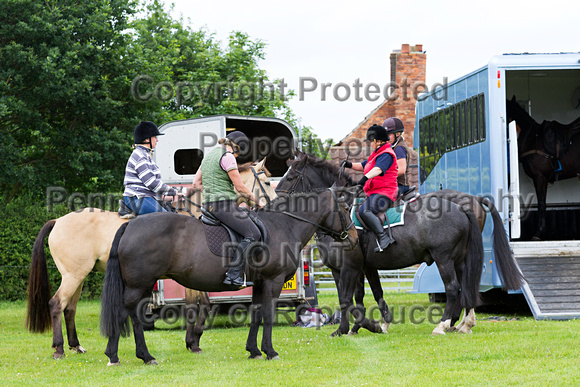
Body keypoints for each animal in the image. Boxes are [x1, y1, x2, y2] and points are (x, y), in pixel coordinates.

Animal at [24, 159, 274, 360]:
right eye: (267, 182)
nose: (275, 203)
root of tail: (57, 220)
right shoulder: (190, 278)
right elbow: (198, 305)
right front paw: (193, 342)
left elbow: (200, 304)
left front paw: (192, 341)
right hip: (74, 276)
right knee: (57, 304)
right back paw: (59, 348)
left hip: (79, 276)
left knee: (69, 308)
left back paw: (75, 346)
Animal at [99, 186, 358, 366]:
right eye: (346, 209)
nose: (354, 239)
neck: (282, 226)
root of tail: (131, 225)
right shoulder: (272, 282)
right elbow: (267, 316)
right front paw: (270, 351)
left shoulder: (259, 284)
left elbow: (256, 314)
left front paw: (254, 351)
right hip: (138, 284)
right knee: (124, 313)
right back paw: (117, 355)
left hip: (142, 285)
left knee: (133, 315)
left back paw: (142, 355)